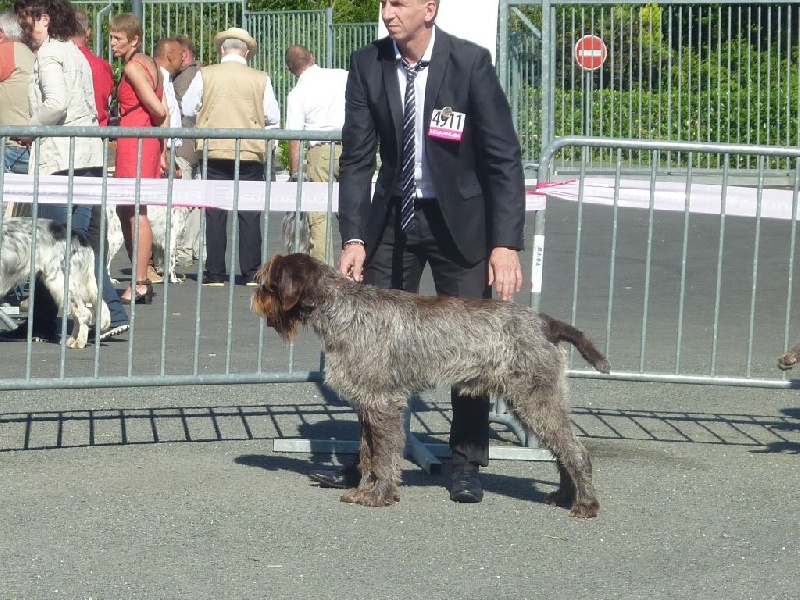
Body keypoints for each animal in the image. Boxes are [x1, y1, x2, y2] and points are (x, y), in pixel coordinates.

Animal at [253, 252, 608, 516]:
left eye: (269, 283)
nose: (255, 298)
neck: (340, 309)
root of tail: (545, 321)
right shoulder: (366, 403)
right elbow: (368, 454)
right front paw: (364, 490)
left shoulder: (382, 404)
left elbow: (383, 456)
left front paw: (379, 495)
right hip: (531, 402)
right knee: (562, 451)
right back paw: (564, 496)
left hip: (535, 400)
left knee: (576, 451)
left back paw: (586, 503)